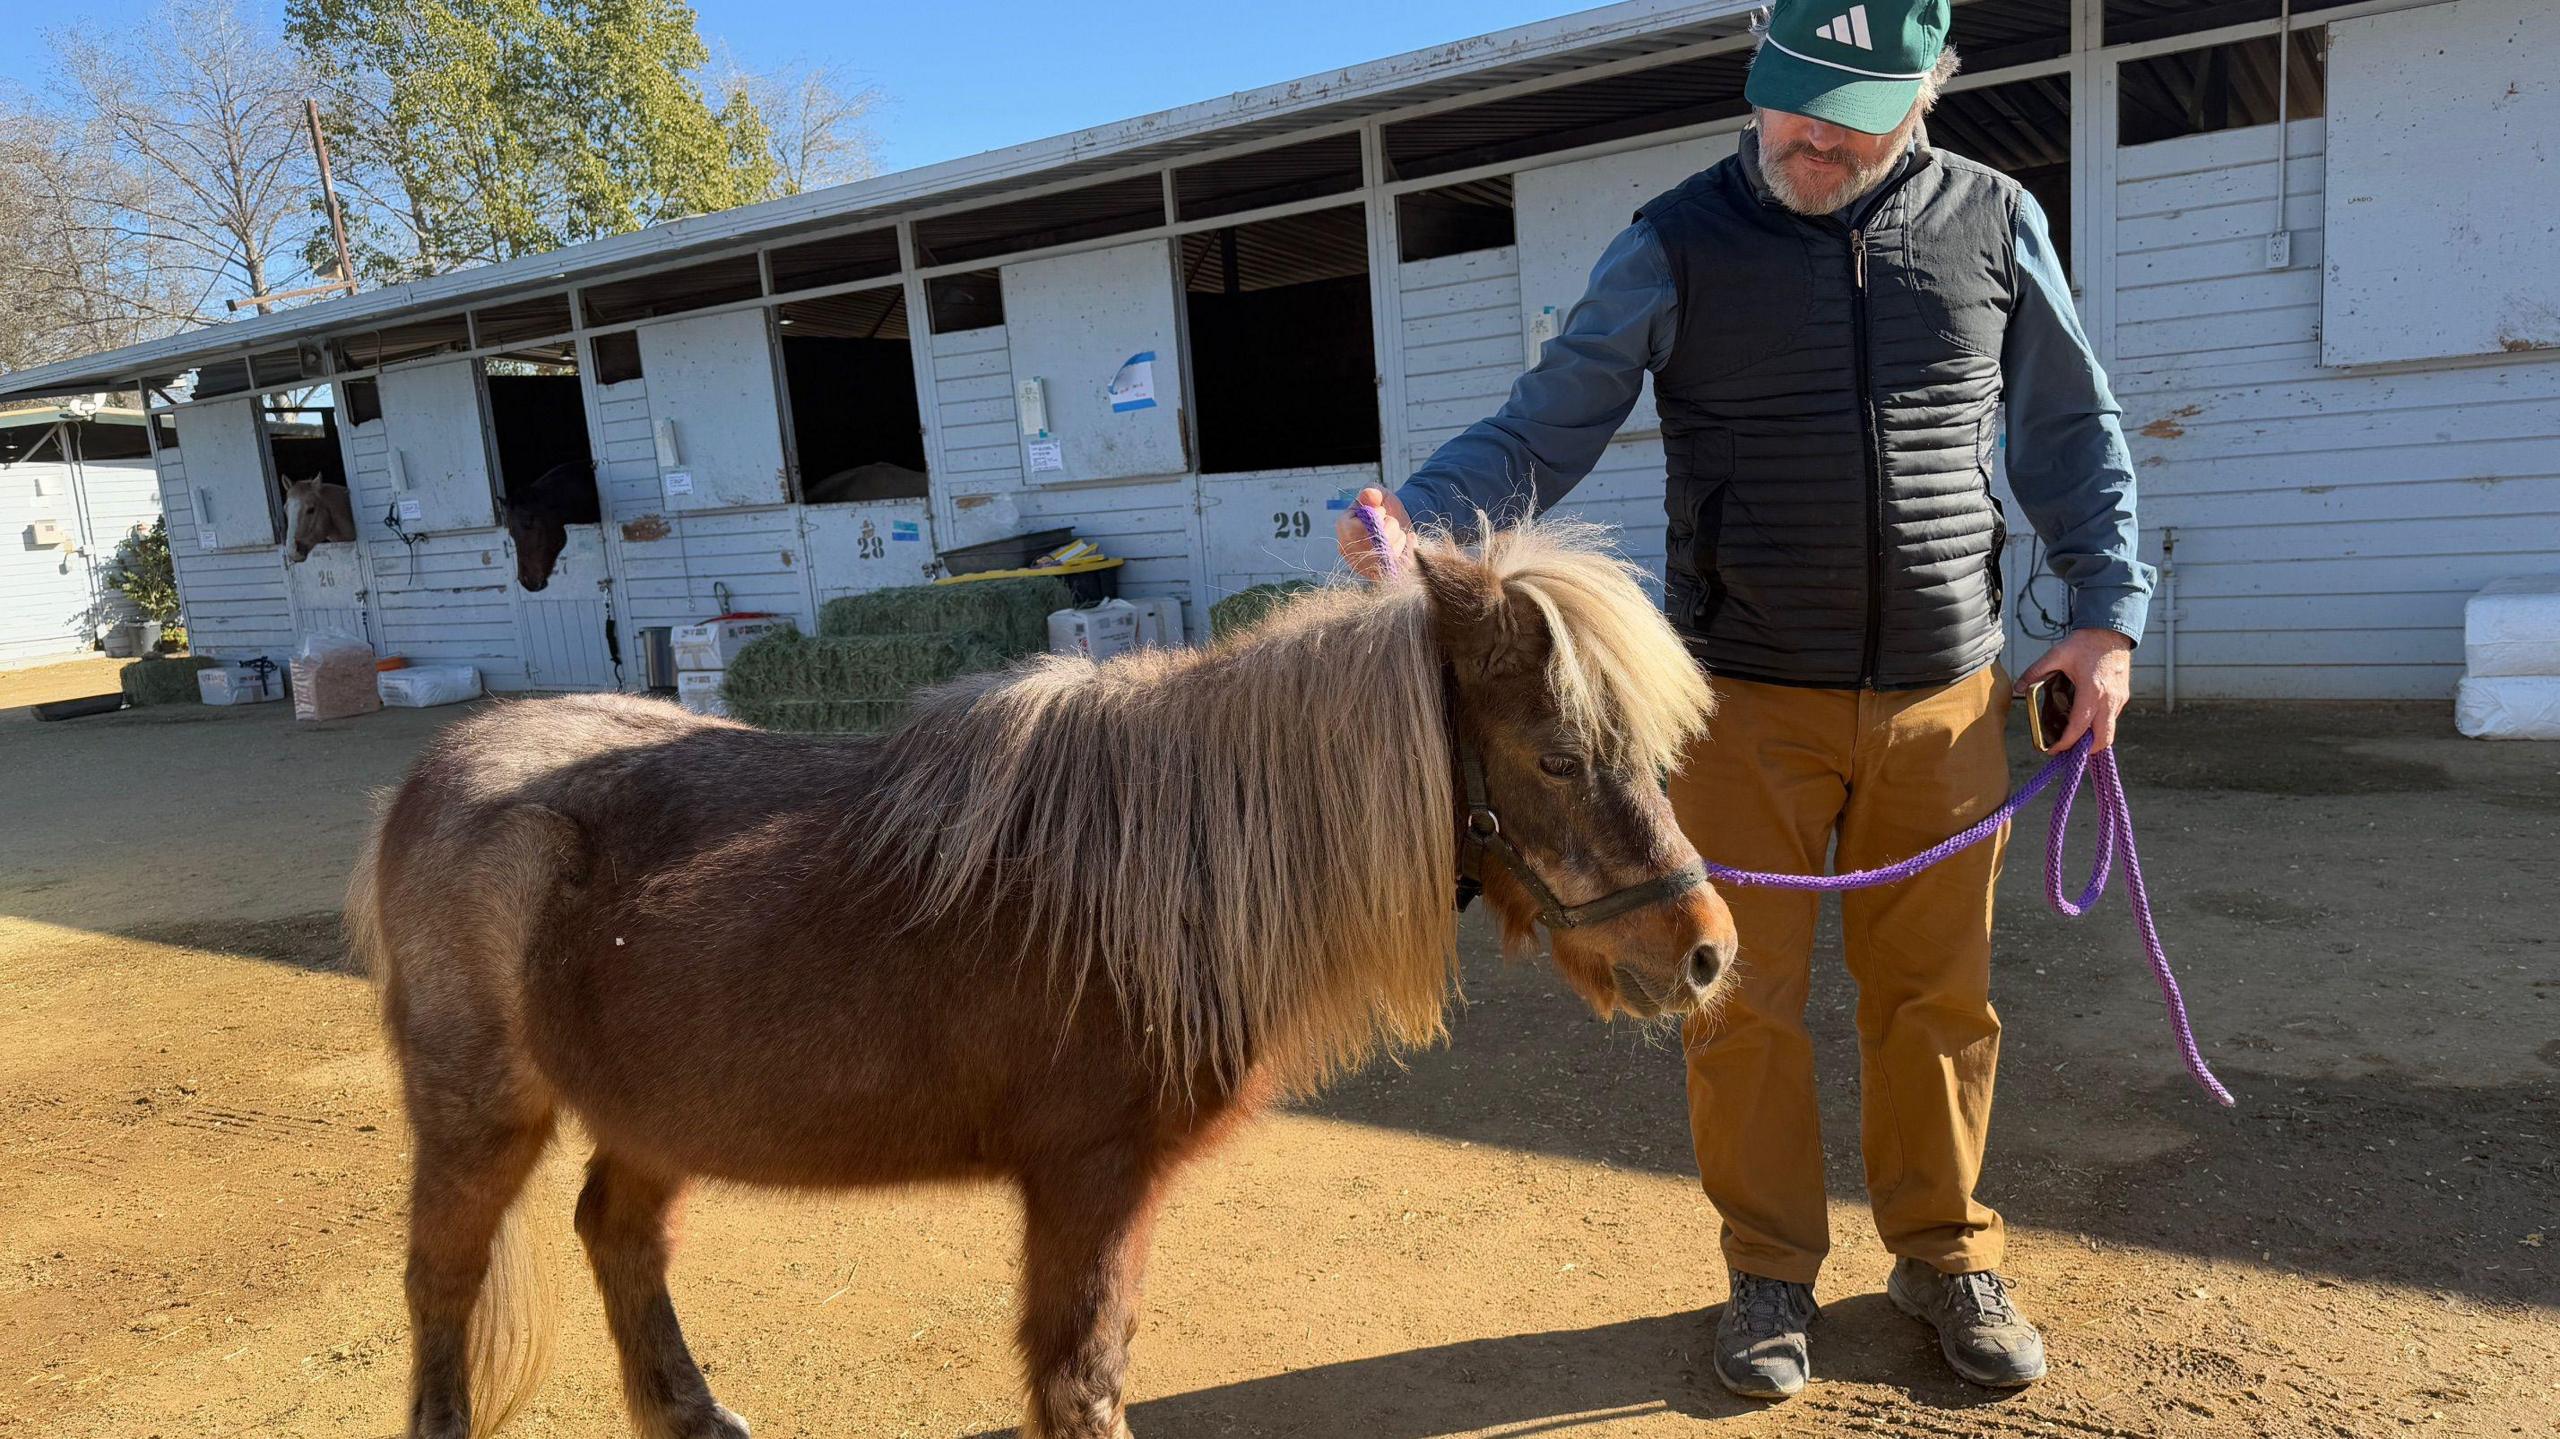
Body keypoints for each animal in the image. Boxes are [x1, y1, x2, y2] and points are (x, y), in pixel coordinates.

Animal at [355, 514, 1740, 1433]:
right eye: (1557, 755)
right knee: (441, 1274)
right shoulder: (1088, 1179)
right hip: (479, 1112)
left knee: (617, 1234)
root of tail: (442, 769)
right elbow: (1080, 1376)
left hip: (653, 1112)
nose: (1705, 951)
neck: (1156, 869)